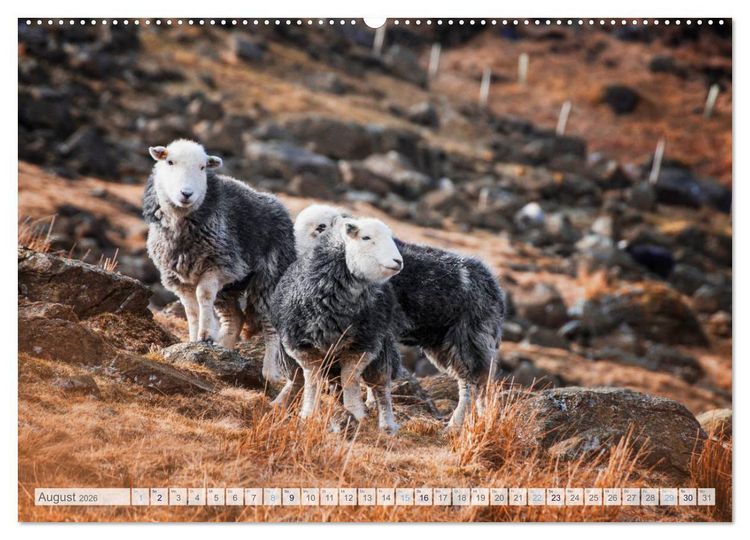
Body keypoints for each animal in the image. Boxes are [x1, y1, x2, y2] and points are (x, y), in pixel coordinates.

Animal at [142, 139, 296, 378]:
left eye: (202, 167)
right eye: (170, 162)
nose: (186, 193)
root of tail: (280, 205)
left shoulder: (218, 266)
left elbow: (203, 296)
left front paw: (205, 334)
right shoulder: (178, 278)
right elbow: (191, 309)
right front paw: (194, 338)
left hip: (269, 277)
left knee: (270, 325)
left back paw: (270, 371)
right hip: (230, 287)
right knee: (235, 318)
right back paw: (225, 349)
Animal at [271, 216, 404, 433]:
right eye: (366, 237)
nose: (398, 262)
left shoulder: (363, 346)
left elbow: (350, 379)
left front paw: (355, 414)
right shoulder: (301, 346)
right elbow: (312, 379)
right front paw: (309, 413)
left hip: (382, 348)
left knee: (381, 386)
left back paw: (387, 425)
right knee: (296, 379)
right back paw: (281, 402)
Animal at [294, 204, 506, 429]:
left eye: (321, 227)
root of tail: (493, 286)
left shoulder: (380, 332)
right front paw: (369, 404)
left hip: (469, 337)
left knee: (471, 382)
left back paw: (455, 424)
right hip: (445, 341)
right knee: (477, 383)